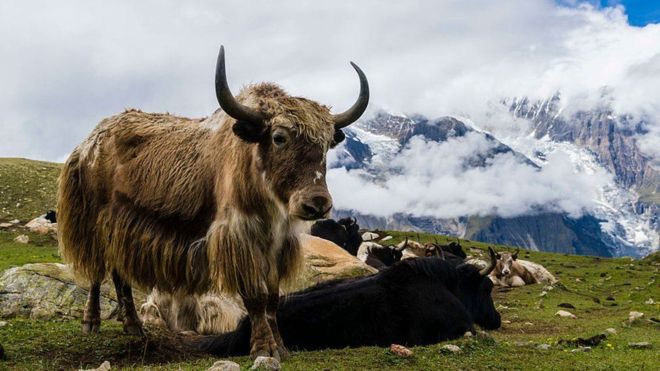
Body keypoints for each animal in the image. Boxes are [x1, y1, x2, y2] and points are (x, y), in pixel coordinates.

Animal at [56, 45, 368, 360]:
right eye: (279, 138)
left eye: (326, 144)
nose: (317, 203)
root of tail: (86, 143)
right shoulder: (237, 238)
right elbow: (255, 296)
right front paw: (264, 349)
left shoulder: (276, 246)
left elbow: (272, 297)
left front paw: (281, 346)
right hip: (92, 220)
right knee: (96, 270)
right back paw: (91, 322)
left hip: (120, 230)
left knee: (119, 273)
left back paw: (134, 327)